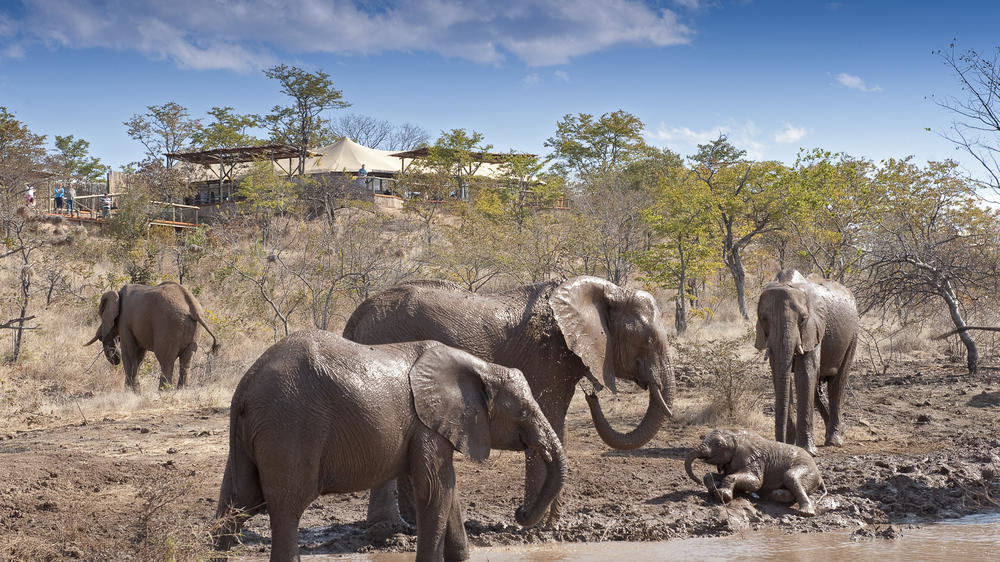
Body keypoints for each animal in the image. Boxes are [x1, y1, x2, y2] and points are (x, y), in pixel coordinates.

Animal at [85, 282, 219, 391]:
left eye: (101, 314)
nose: (115, 359)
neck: (117, 294)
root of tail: (193, 307)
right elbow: (139, 356)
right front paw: (135, 392)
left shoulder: (124, 321)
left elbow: (129, 353)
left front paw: (130, 392)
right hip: (194, 329)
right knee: (187, 360)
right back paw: (182, 391)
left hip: (169, 325)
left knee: (165, 359)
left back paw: (163, 392)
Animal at [213, 330, 565, 562]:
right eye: (522, 412)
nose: (519, 513)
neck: (480, 368)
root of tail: (244, 388)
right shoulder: (426, 425)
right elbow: (435, 488)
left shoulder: (429, 427)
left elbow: (447, 489)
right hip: (289, 426)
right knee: (286, 507)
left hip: (252, 435)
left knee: (238, 502)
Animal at [343, 276, 676, 525]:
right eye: (647, 340)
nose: (591, 392)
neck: (604, 290)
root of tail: (354, 318)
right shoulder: (546, 357)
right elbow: (550, 419)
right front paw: (538, 528)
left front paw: (552, 526)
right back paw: (387, 531)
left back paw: (408, 527)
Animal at [685, 428, 826, 516]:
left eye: (719, 444)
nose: (697, 481)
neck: (738, 436)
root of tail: (820, 477)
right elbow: (715, 475)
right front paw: (713, 488)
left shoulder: (755, 460)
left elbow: (755, 482)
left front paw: (722, 495)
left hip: (808, 470)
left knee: (790, 476)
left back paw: (805, 512)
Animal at [754, 269, 858, 455]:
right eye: (764, 319)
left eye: (802, 319)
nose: (779, 443)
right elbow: (779, 373)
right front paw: (790, 444)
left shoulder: (814, 327)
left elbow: (805, 373)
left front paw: (808, 451)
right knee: (817, 391)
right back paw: (840, 430)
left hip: (853, 335)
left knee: (837, 383)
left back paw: (834, 440)